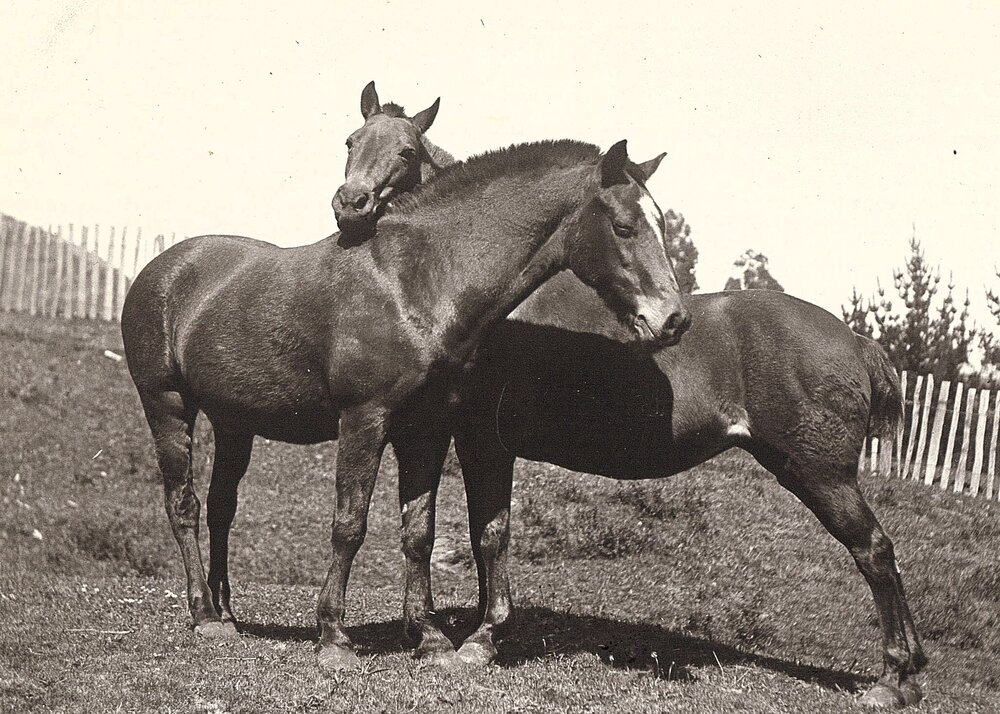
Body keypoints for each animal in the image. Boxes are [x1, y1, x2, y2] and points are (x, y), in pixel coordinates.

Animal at [120, 138, 689, 674]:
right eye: (624, 226)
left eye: (662, 222)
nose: (673, 319)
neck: (416, 283)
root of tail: (161, 270)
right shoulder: (364, 421)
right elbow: (349, 525)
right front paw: (334, 638)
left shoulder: (426, 430)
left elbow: (419, 531)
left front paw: (431, 639)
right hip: (167, 405)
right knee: (184, 506)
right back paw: (203, 615)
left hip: (234, 422)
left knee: (221, 508)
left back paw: (227, 614)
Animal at [331, 130, 926, 706]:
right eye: (353, 140)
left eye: (405, 150)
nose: (349, 207)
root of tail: (857, 341)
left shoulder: (481, 441)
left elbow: (488, 537)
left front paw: (479, 641)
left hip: (820, 475)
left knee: (874, 551)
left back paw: (891, 678)